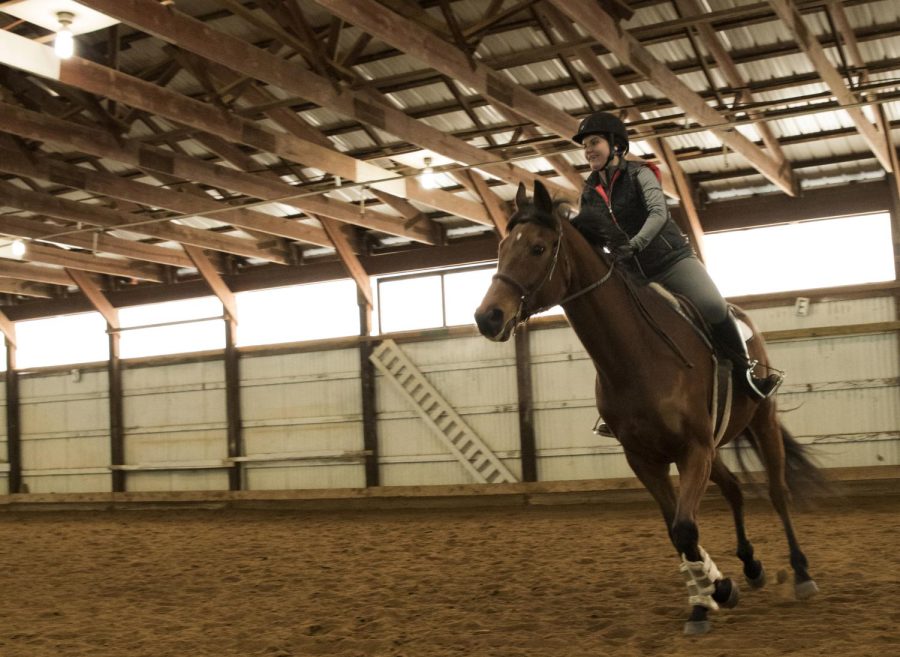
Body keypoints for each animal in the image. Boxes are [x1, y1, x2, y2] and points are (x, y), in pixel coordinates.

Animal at [474, 182, 828, 632]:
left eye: (538, 248)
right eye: (503, 248)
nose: (488, 317)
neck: (638, 355)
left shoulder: (693, 450)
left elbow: (685, 528)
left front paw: (715, 593)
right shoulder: (646, 459)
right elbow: (676, 530)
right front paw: (708, 595)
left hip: (761, 422)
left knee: (778, 492)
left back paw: (800, 573)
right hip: (712, 450)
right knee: (733, 490)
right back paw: (751, 567)